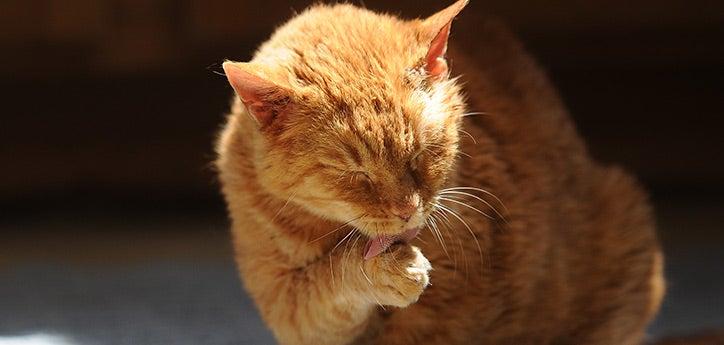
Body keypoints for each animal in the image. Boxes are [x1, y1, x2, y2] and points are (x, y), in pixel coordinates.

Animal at [214, 1, 660, 342]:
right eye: (354, 172)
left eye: (422, 152)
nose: (407, 210)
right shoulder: (288, 302)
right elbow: (330, 279)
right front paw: (381, 269)